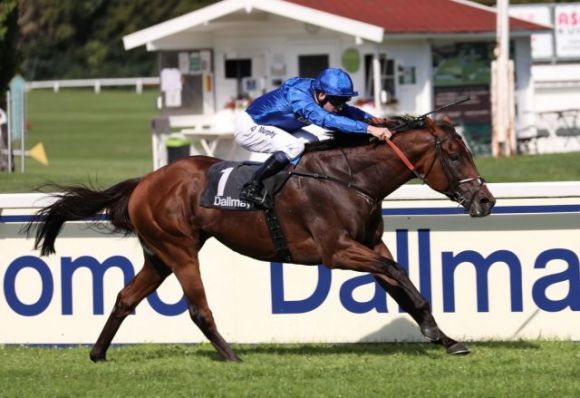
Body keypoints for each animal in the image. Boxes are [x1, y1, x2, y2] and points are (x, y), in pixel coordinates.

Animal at [26, 115, 494, 360]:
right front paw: (433, 329)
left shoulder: (368, 243)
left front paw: (446, 338)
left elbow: (402, 283)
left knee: (125, 298)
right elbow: (396, 272)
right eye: (455, 155)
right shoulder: (337, 250)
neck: (349, 178)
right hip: (179, 250)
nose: (485, 200)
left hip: (159, 254)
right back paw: (231, 356)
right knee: (198, 309)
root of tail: (145, 181)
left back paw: (98, 353)